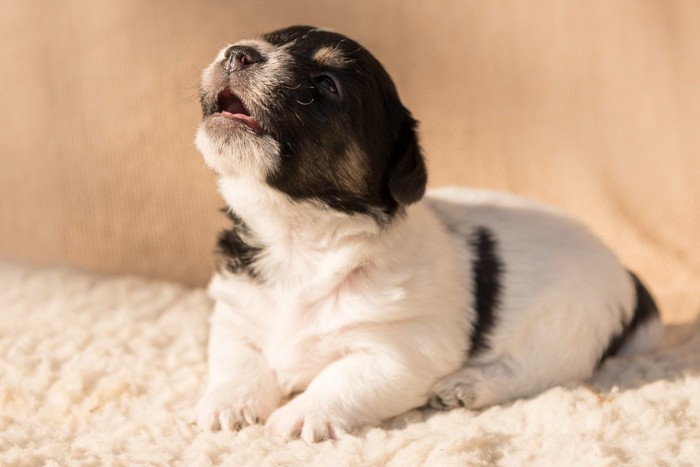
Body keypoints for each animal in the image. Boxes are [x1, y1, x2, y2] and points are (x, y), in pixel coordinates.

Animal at [194, 25, 664, 442]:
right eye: (266, 40)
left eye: (326, 84)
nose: (238, 54)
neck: (295, 236)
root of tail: (627, 275)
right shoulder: (236, 315)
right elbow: (237, 363)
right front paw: (227, 406)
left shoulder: (398, 353)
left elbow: (340, 378)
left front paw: (301, 415)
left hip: (564, 327)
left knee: (529, 370)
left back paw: (465, 387)